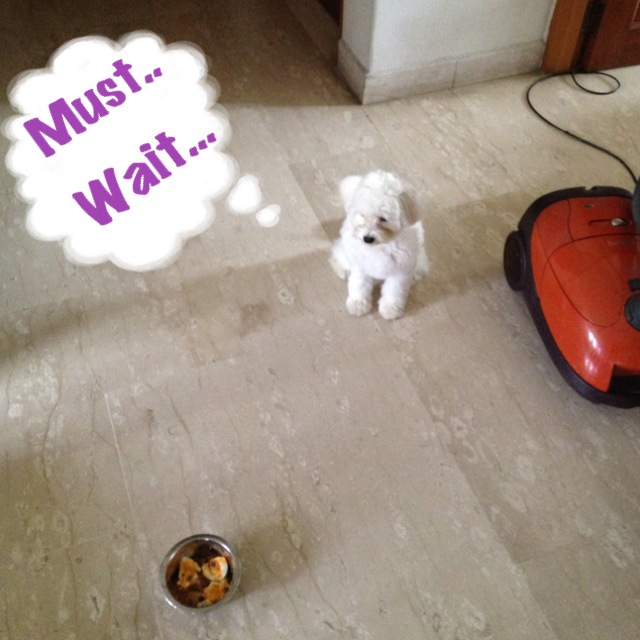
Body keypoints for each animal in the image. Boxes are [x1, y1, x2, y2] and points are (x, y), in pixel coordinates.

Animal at [330, 170, 429, 320]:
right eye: (362, 215)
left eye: (383, 219)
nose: (367, 238)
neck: (381, 245)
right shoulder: (361, 265)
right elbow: (359, 284)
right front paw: (358, 304)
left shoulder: (400, 267)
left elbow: (395, 290)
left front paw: (390, 308)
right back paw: (342, 269)